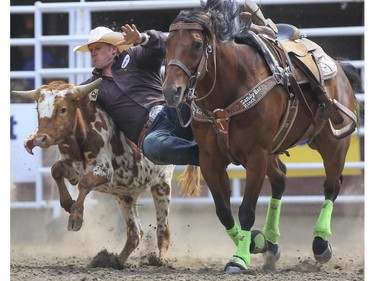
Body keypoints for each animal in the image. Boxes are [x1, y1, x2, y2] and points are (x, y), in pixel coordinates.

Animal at [163, 0, 362, 272]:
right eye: (167, 43)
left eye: (196, 44)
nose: (171, 91)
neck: (230, 87)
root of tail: (338, 68)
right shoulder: (210, 160)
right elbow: (223, 211)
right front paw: (257, 243)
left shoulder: (256, 155)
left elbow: (246, 210)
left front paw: (239, 259)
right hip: (273, 150)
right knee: (280, 179)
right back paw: (271, 241)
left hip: (333, 143)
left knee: (332, 185)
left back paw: (320, 243)